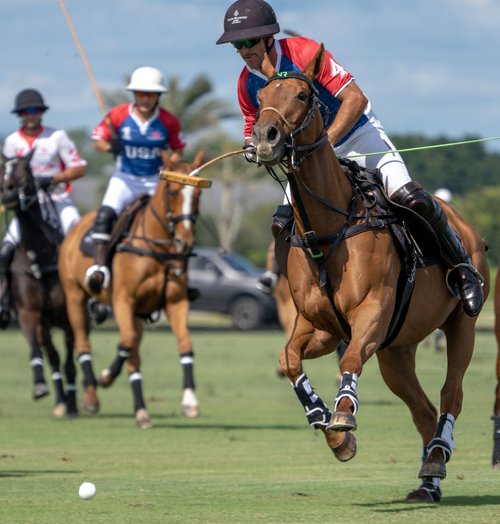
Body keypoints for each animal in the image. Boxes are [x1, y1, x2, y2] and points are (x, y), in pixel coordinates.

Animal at [0, 152, 77, 417]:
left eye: (25, 170)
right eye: (2, 169)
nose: (8, 192)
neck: (39, 258)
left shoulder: (69, 317)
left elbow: (71, 361)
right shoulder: (29, 313)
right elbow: (37, 350)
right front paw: (40, 387)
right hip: (45, 325)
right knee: (52, 356)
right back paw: (61, 402)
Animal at [58, 151, 205, 428]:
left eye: (198, 195)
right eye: (172, 191)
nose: (185, 241)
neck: (158, 249)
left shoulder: (176, 302)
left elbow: (186, 344)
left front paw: (190, 401)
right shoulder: (122, 301)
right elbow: (124, 342)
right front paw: (106, 376)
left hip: (136, 313)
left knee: (133, 356)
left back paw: (141, 412)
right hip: (74, 296)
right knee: (84, 343)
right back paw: (92, 396)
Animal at [251, 46, 490, 502]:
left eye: (303, 95)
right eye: (259, 98)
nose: (265, 138)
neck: (330, 227)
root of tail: (466, 224)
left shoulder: (372, 311)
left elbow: (348, 358)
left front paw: (343, 417)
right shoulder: (320, 325)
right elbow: (288, 358)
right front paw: (325, 422)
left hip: (460, 325)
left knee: (451, 393)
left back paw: (438, 453)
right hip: (396, 349)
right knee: (423, 409)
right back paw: (428, 480)